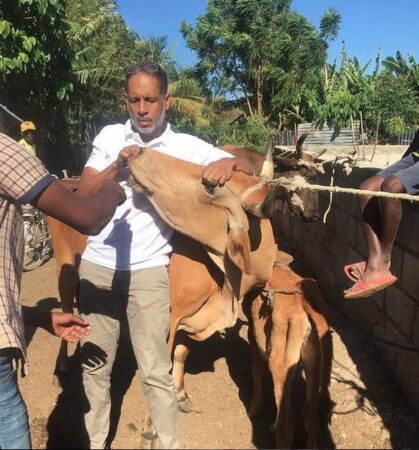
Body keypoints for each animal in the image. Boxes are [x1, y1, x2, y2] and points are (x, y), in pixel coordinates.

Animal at [243, 251, 334, 448]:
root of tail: (304, 302)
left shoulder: (253, 339)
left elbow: (256, 376)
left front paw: (254, 408)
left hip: (280, 367)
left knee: (287, 425)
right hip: (313, 365)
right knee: (310, 417)